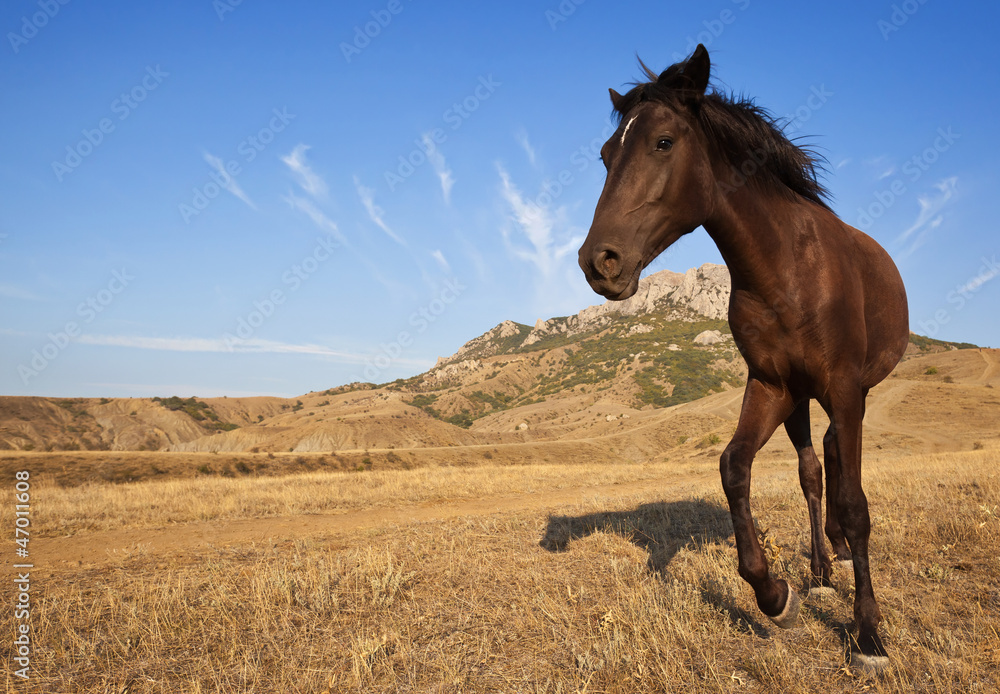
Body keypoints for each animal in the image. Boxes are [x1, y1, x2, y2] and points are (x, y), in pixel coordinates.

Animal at [577, 45, 909, 670]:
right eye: (606, 155)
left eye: (663, 142)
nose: (598, 261)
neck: (790, 266)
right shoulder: (771, 385)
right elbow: (734, 467)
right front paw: (775, 594)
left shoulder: (844, 387)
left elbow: (856, 504)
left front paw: (869, 634)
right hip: (802, 399)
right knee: (813, 468)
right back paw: (821, 569)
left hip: (850, 392)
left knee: (834, 461)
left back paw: (837, 559)